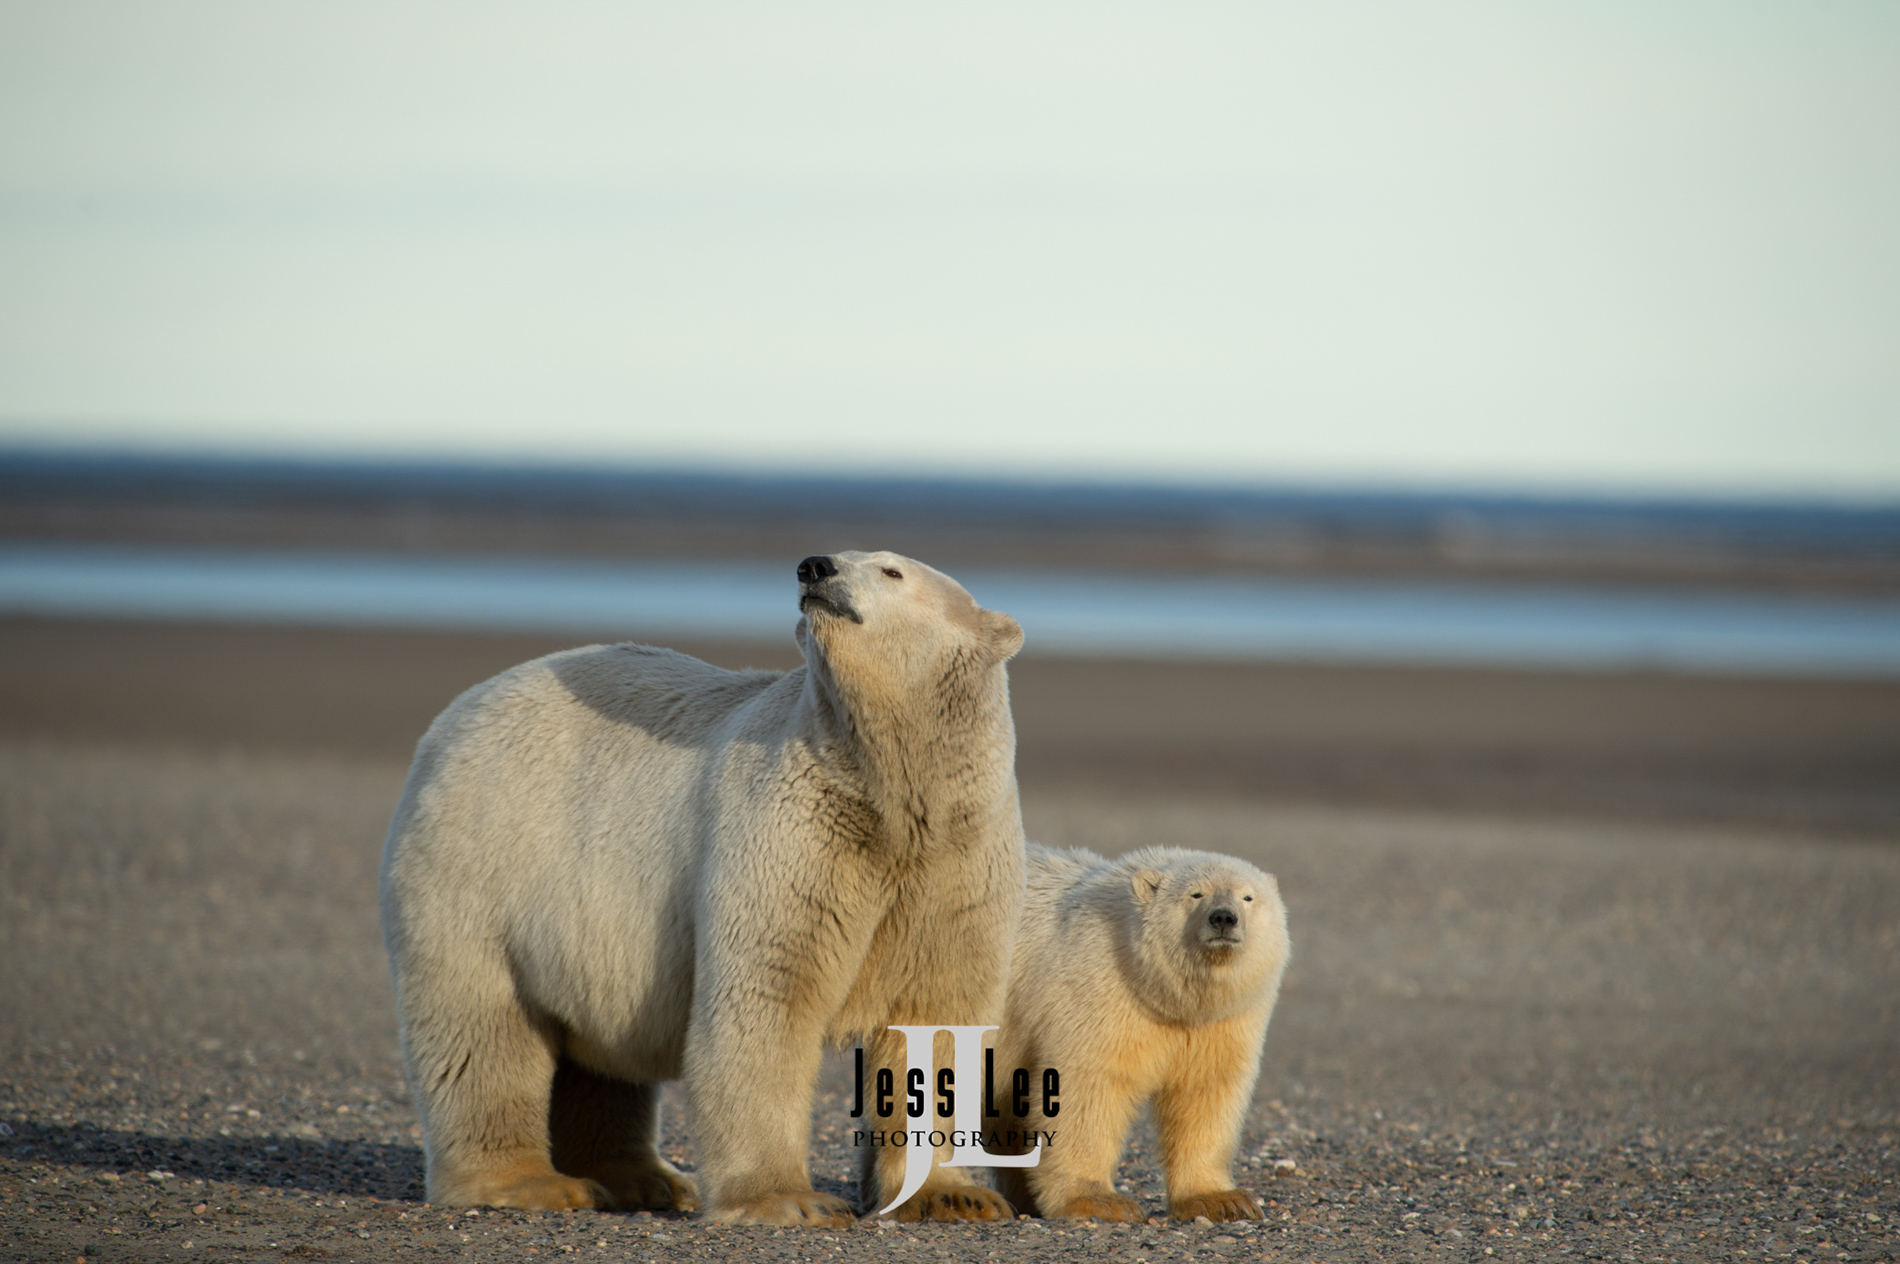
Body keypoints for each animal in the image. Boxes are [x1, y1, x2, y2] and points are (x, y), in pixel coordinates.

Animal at [381, 551, 1026, 1224]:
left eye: (891, 570)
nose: (814, 567)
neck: (890, 797)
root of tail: (462, 710)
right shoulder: (793, 834)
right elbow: (768, 998)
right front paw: (788, 1200)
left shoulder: (956, 866)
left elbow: (937, 1018)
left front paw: (952, 1196)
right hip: (482, 868)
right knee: (483, 1031)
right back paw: (535, 1182)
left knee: (595, 1058)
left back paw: (643, 1180)